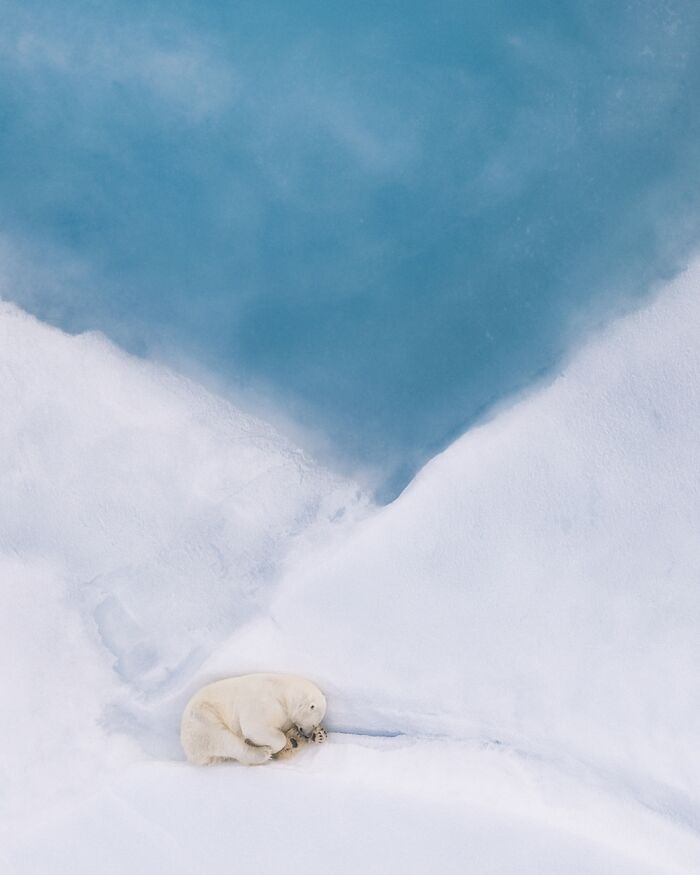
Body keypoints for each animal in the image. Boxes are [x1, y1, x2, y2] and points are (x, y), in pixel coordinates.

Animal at [180, 673, 327, 766]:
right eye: (313, 723)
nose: (308, 734)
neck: (282, 691)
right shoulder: (263, 702)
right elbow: (255, 727)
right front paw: (276, 746)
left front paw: (319, 734)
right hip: (203, 719)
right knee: (224, 738)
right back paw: (263, 752)